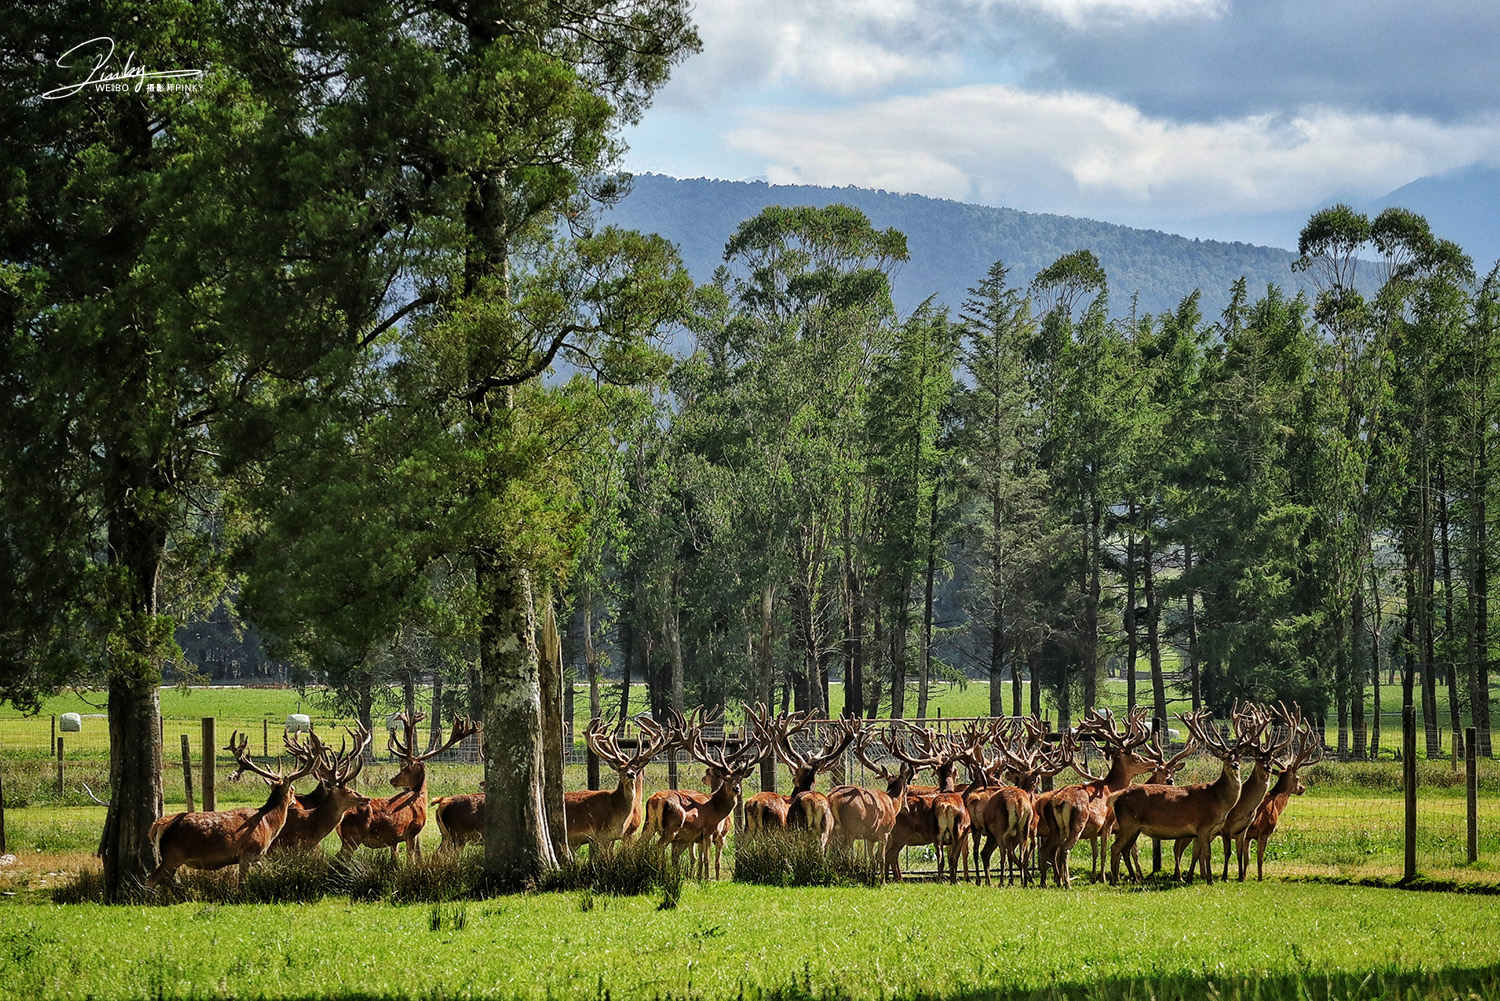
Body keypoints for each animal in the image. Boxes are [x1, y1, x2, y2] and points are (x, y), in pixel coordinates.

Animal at [146, 732, 316, 888]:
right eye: (293, 789)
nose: (295, 801)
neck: (268, 823)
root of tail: (159, 825)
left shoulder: (256, 857)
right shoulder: (247, 852)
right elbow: (242, 883)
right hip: (172, 855)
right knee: (151, 879)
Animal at [337, 711, 477, 864]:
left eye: (404, 769)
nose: (392, 780)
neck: (419, 797)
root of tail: (341, 816)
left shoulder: (395, 839)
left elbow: (396, 857)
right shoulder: (412, 831)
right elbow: (411, 858)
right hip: (352, 839)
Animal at [1110, 705, 1260, 882]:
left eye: (1239, 756)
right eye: (1225, 758)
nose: (1235, 765)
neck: (1218, 799)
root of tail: (1117, 798)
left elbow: (1199, 853)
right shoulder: (1203, 826)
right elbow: (1206, 854)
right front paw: (1209, 880)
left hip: (1135, 827)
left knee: (1125, 849)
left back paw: (1134, 878)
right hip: (1128, 823)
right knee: (1115, 847)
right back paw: (1114, 880)